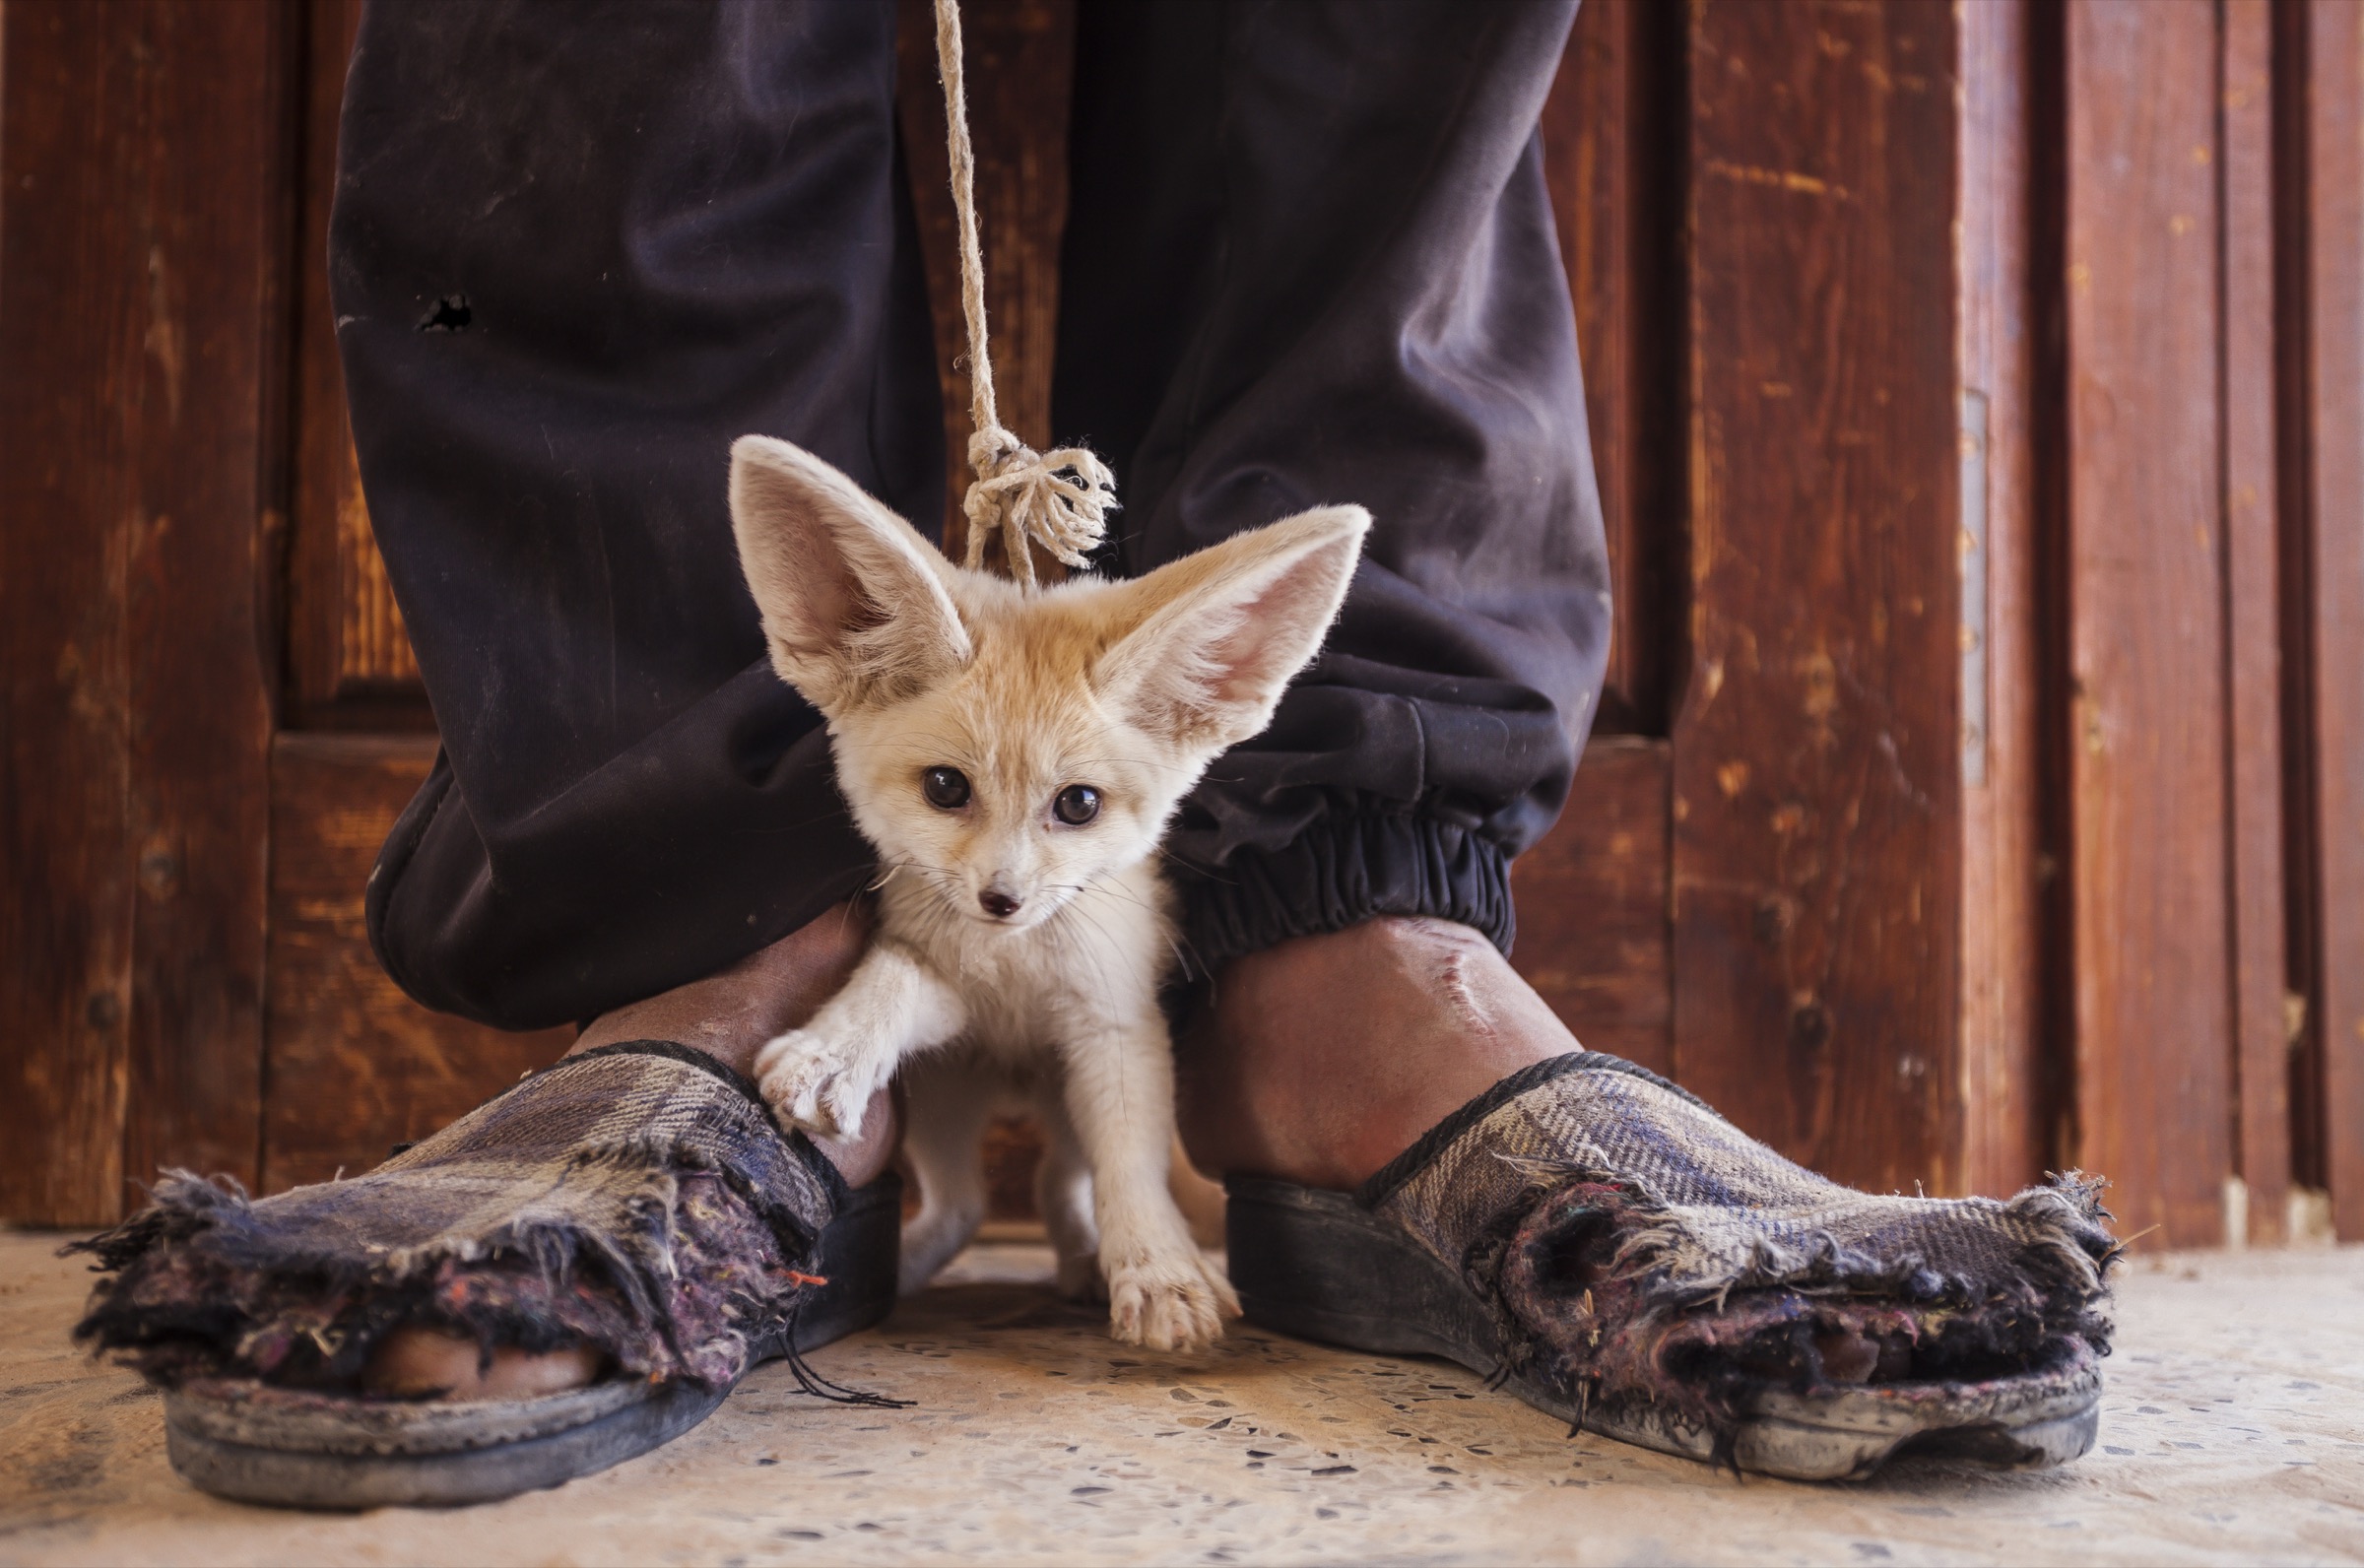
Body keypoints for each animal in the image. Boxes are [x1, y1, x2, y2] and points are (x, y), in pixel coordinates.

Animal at [727, 435, 1369, 1352]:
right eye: (946, 789)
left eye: (1079, 805)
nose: (1003, 901)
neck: (1016, 978)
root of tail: (1017, 1084)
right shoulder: (950, 991)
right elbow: (895, 976)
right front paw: (837, 1048)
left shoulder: (1114, 1031)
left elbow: (1130, 1170)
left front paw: (1161, 1270)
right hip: (946, 1103)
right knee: (967, 1207)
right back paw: (906, 1270)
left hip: (1061, 1108)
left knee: (1057, 1189)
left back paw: (1085, 1264)